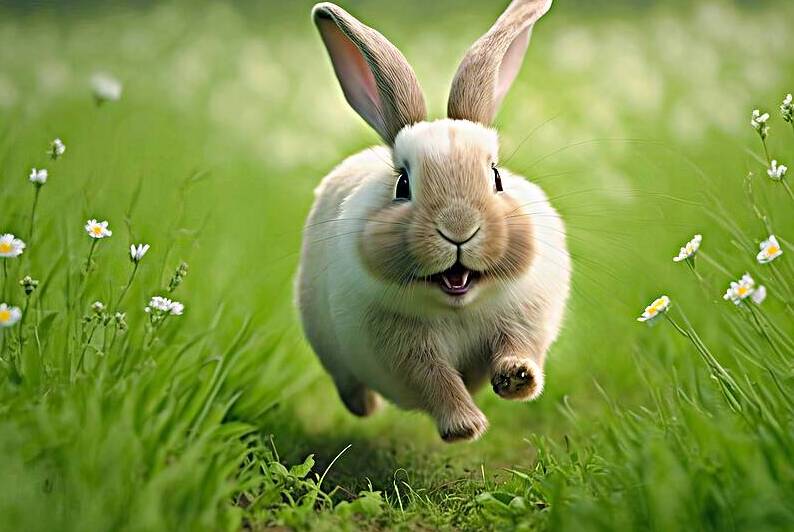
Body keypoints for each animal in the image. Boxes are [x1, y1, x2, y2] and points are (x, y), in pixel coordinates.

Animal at [296, 0, 569, 442]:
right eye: (403, 184)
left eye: (496, 177)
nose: (458, 229)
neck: (457, 306)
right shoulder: (403, 352)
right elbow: (436, 382)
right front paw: (465, 427)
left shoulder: (526, 317)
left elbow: (518, 347)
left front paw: (517, 379)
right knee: (349, 385)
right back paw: (364, 407)